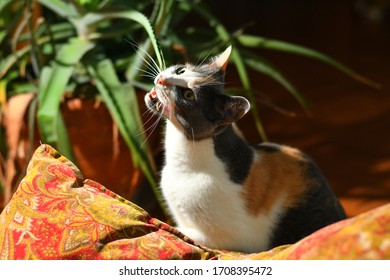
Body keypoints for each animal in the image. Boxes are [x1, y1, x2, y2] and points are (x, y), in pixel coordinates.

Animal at [145, 46, 346, 254]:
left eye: (188, 95)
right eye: (181, 70)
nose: (162, 79)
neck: (182, 164)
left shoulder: (222, 238)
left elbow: (180, 232)